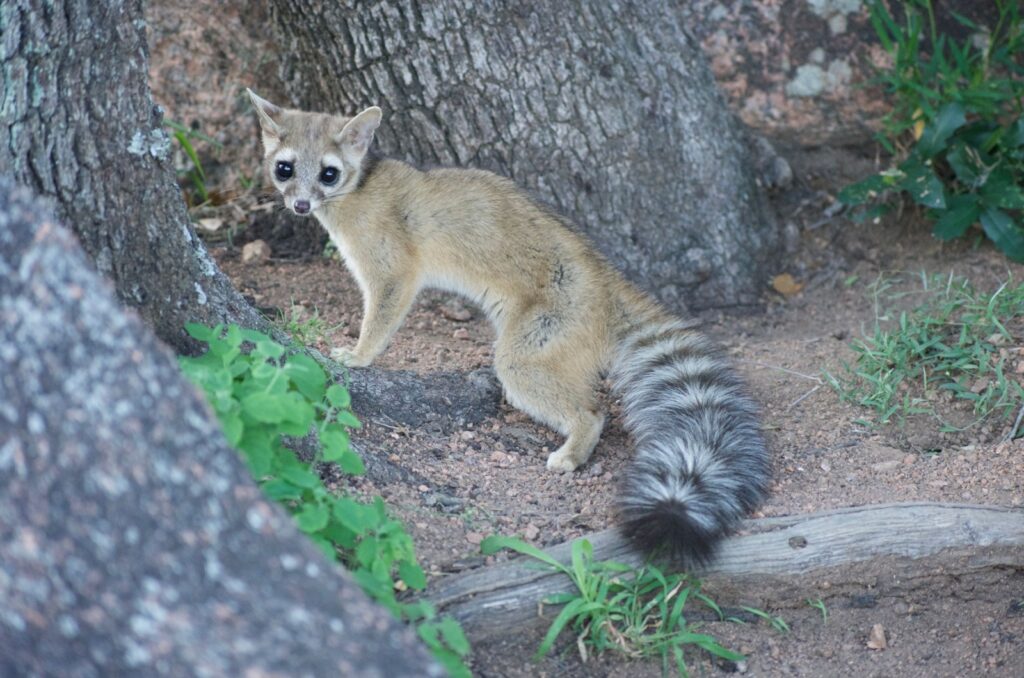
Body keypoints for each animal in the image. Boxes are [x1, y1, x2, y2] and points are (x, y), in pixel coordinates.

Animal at [249, 90, 770, 569]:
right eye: (285, 168)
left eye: (329, 173)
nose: (300, 205)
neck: (361, 187)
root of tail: (605, 277)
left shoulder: (392, 268)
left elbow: (382, 313)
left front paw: (360, 354)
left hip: (533, 345)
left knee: (586, 408)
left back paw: (575, 446)